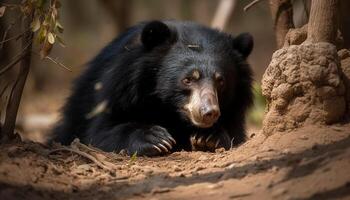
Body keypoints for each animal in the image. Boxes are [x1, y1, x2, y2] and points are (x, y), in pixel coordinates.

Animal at [52, 20, 253, 156]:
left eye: (221, 81)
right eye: (187, 80)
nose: (209, 112)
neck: (167, 108)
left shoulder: (235, 108)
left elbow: (235, 133)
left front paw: (209, 137)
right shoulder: (120, 88)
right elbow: (100, 132)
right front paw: (156, 138)